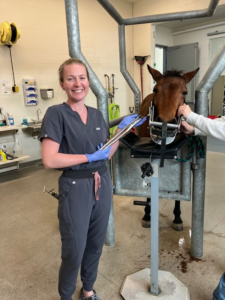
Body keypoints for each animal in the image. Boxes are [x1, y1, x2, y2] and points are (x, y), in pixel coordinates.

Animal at [137, 65, 199, 230]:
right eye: (156, 89)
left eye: (184, 92)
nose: (165, 124)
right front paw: (147, 215)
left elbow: (178, 192)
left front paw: (177, 217)